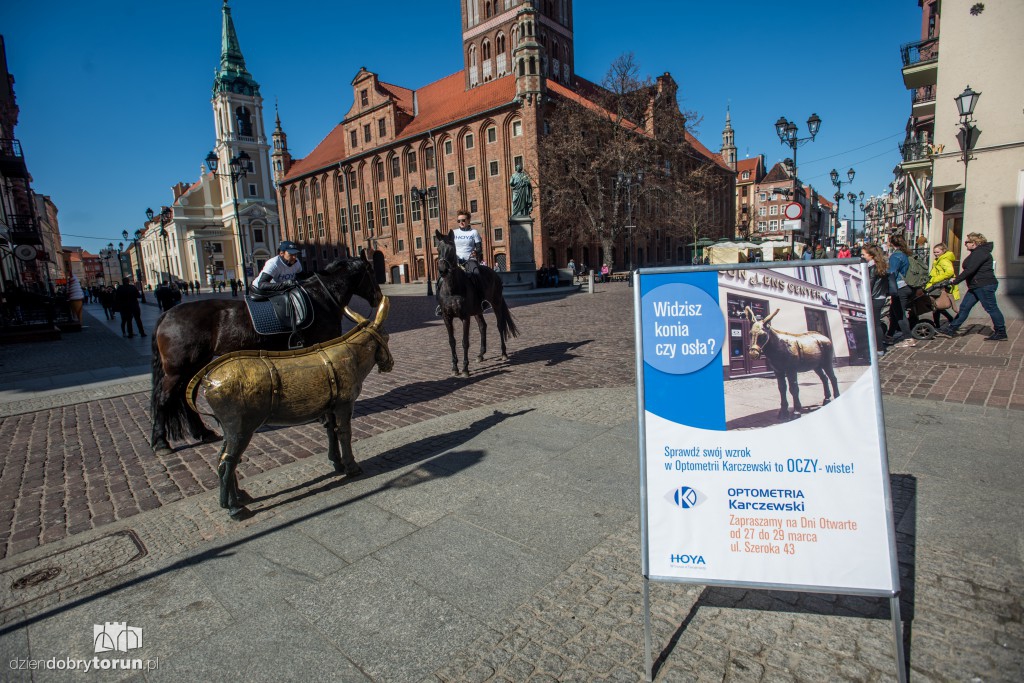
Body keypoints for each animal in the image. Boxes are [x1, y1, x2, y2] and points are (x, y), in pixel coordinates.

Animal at [155, 253, 385, 456]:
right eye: (371, 271)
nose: (378, 297)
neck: (320, 298)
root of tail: (166, 314)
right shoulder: (320, 343)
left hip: (195, 364)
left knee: (185, 397)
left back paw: (202, 433)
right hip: (178, 368)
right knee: (164, 399)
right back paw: (161, 443)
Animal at [432, 231, 520, 378]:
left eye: (452, 250)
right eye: (438, 249)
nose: (443, 270)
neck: (452, 288)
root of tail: (495, 274)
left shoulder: (465, 317)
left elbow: (465, 342)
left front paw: (465, 369)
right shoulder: (446, 317)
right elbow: (452, 341)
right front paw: (454, 367)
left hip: (496, 304)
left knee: (500, 326)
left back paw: (503, 353)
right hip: (477, 310)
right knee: (482, 326)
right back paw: (480, 355)